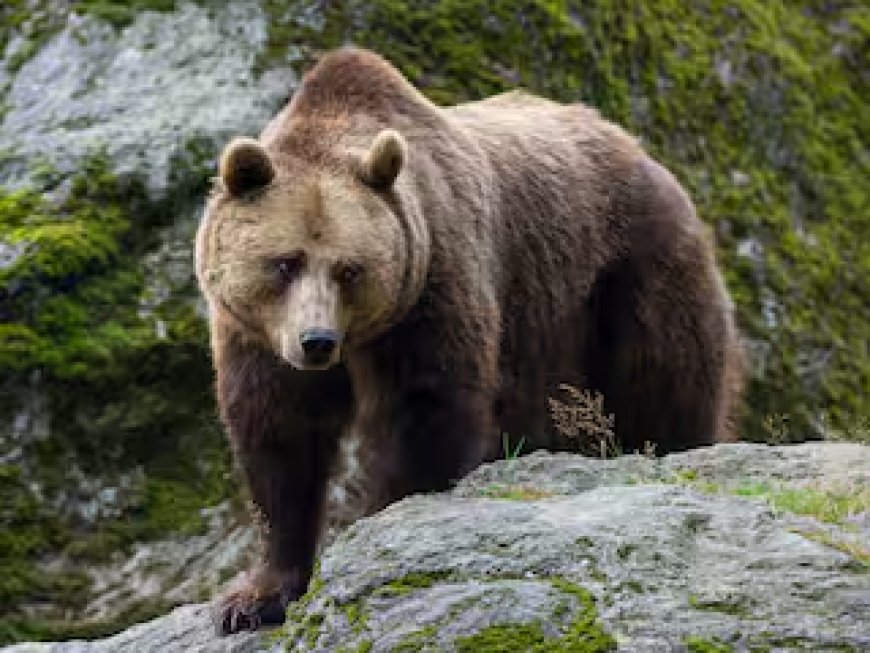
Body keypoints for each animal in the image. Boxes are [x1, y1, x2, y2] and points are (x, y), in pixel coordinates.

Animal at [196, 45, 744, 632]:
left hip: (625, 274)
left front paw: (391, 519)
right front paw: (254, 597)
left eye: (349, 269)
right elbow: (280, 439)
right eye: (285, 262)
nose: (316, 341)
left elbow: (425, 406)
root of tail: (638, 148)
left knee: (666, 387)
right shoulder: (256, 337)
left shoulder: (434, 279)